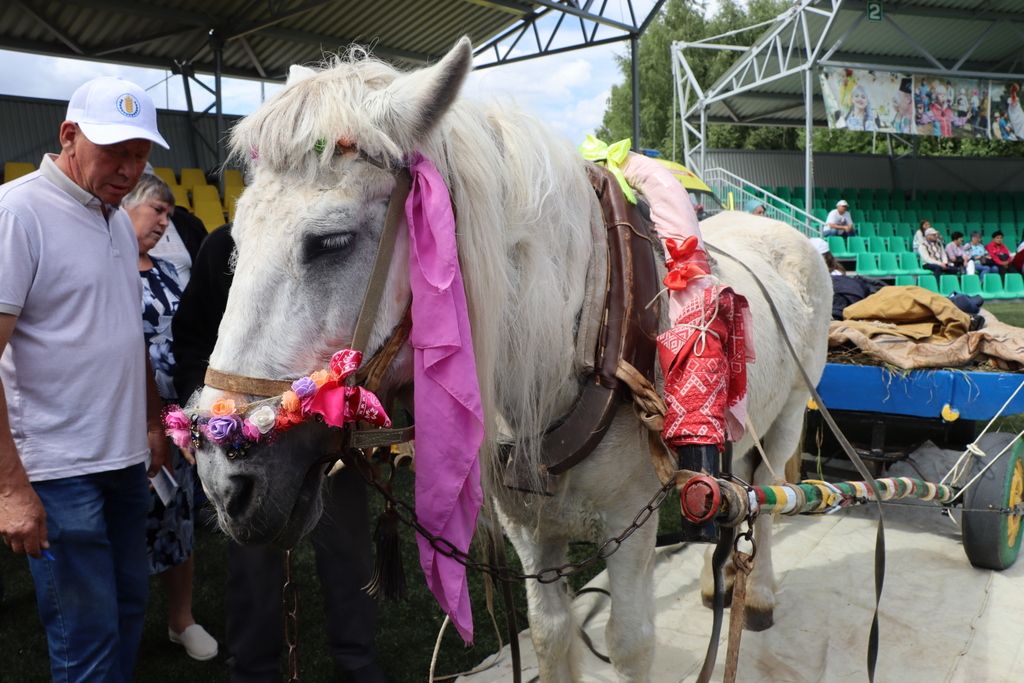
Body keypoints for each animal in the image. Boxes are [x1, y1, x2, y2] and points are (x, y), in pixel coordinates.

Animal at [192, 38, 831, 683]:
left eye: (332, 242)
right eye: (235, 240)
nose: (223, 480)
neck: (570, 344)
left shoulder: (632, 522)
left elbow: (629, 642)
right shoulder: (529, 528)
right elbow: (551, 633)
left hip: (787, 415)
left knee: (767, 495)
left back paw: (759, 596)